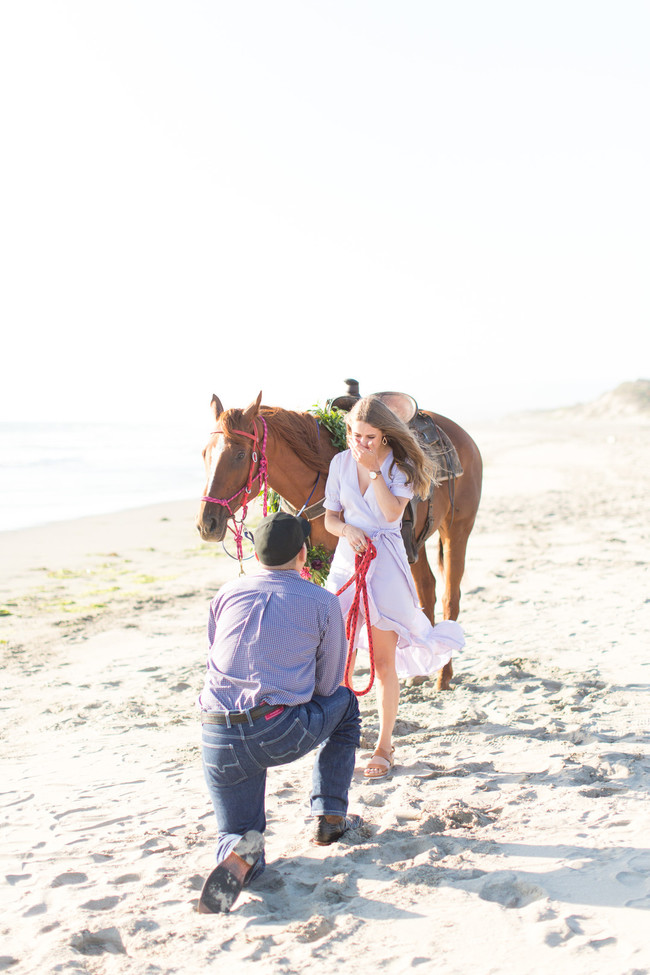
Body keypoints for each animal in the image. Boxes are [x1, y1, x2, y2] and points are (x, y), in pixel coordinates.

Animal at [196, 392, 480, 692]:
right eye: (204, 454)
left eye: (240, 455)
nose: (207, 524)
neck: (316, 479)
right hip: (413, 545)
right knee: (426, 590)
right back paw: (422, 671)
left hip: (457, 531)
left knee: (450, 597)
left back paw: (443, 675)